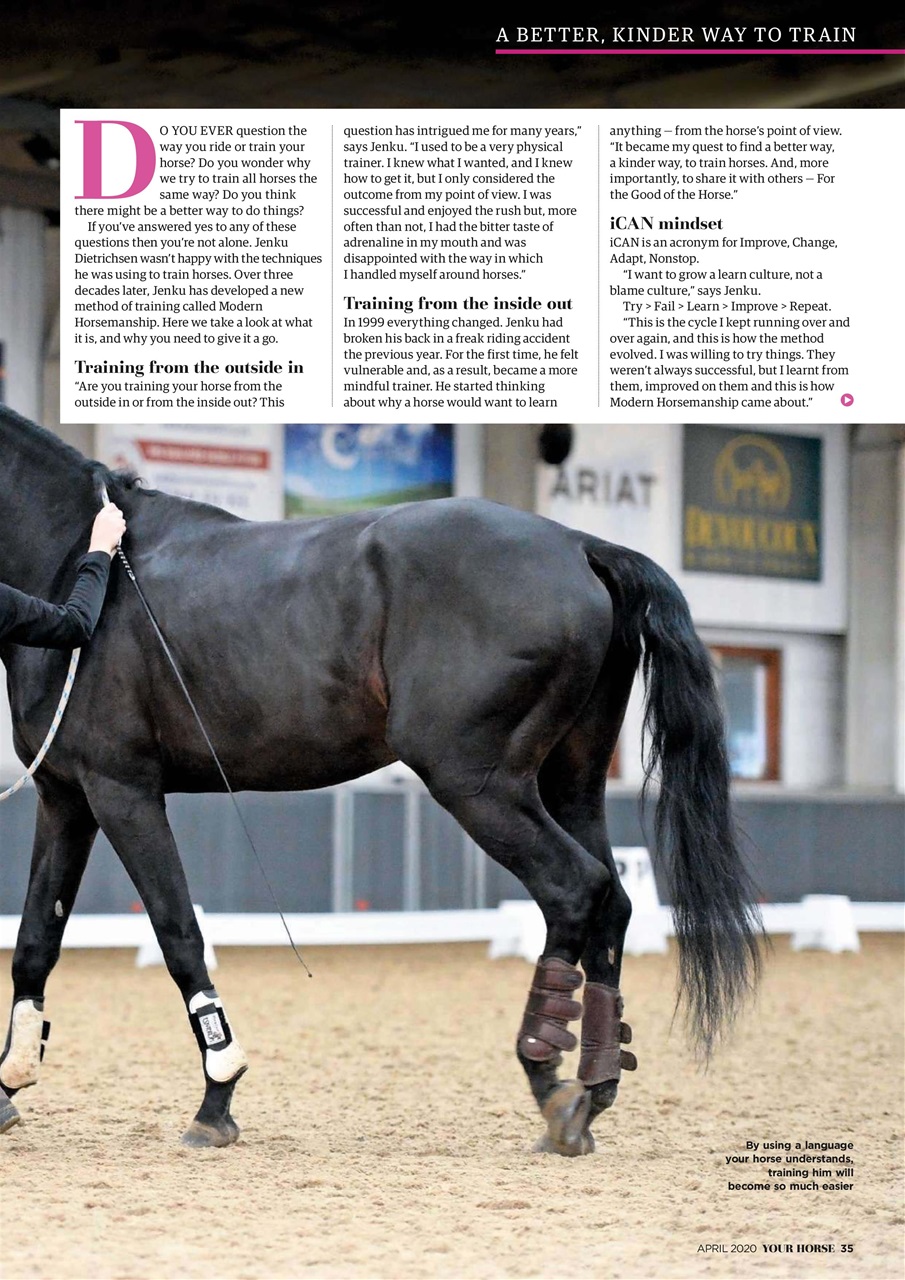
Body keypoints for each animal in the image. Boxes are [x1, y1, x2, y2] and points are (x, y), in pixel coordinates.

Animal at [0, 408, 761, 1154]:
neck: (79, 568)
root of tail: (579, 544)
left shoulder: (122, 790)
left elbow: (177, 931)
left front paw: (217, 1099)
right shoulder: (67, 797)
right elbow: (37, 938)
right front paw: (8, 1089)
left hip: (478, 785)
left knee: (573, 888)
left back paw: (549, 1083)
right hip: (567, 785)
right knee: (613, 902)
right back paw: (594, 1089)